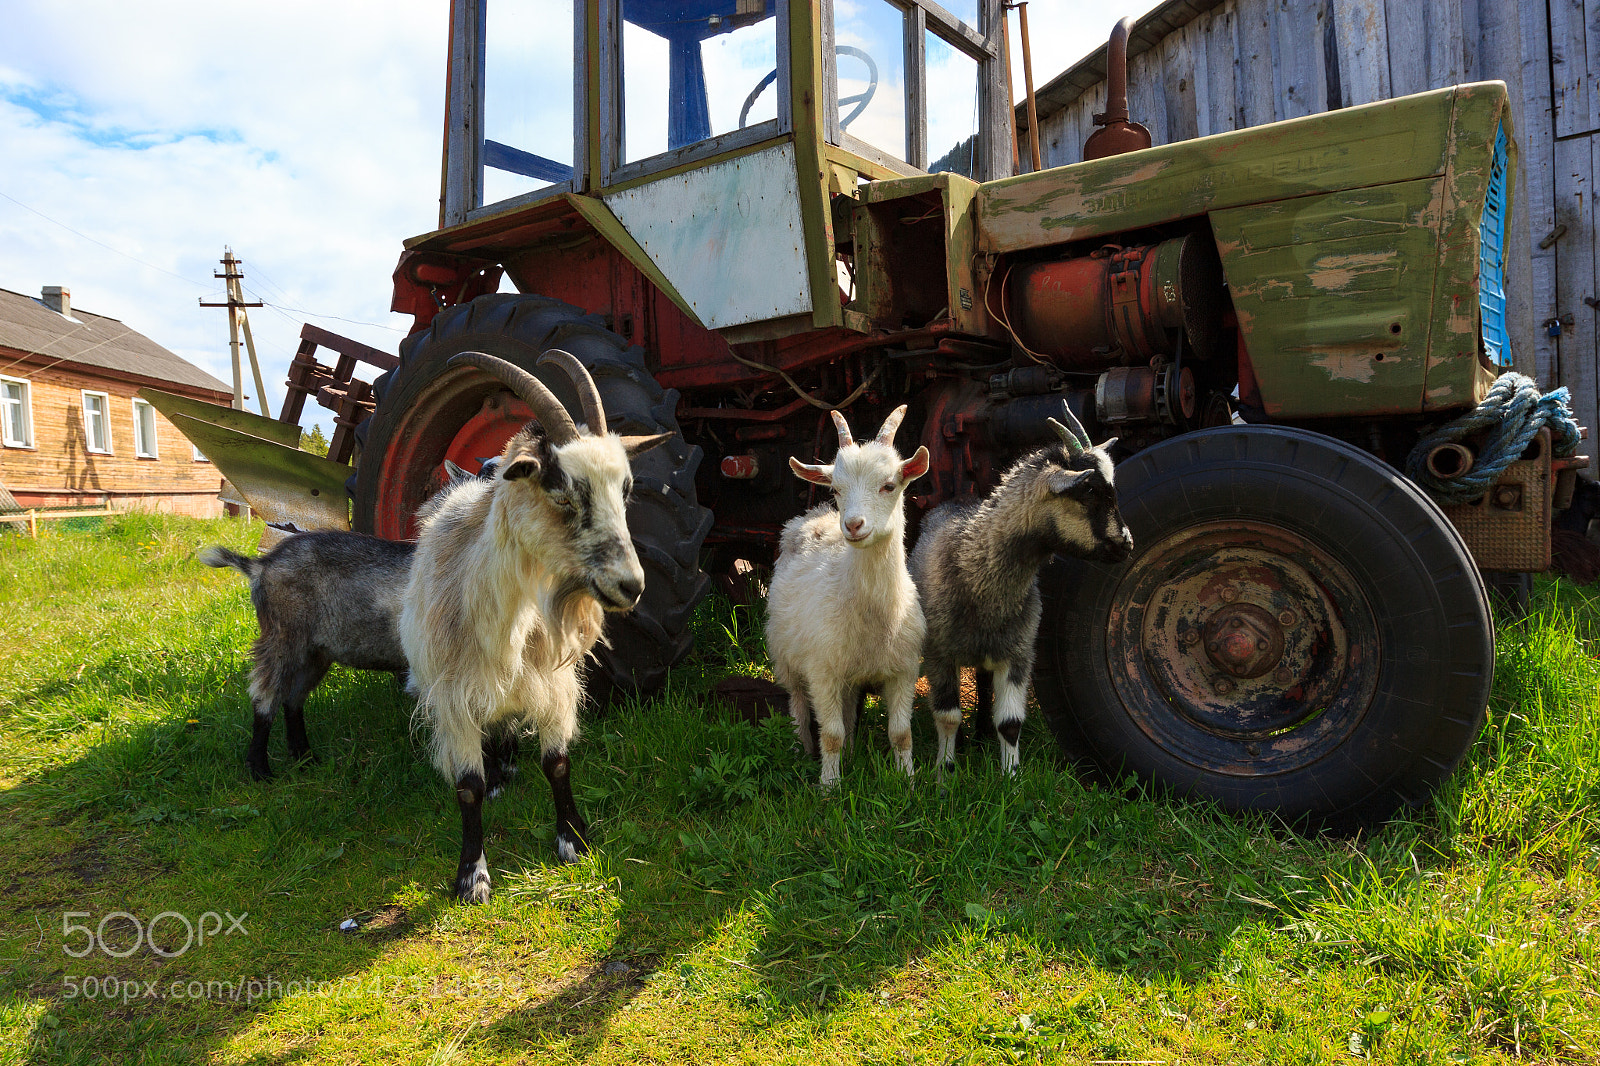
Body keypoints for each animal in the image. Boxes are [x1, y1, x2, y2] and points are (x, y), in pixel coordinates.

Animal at [199, 532, 414, 780]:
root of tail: (261, 567)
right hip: (284, 638)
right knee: (265, 698)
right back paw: (260, 769)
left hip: (315, 653)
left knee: (293, 699)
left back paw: (304, 757)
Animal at [400, 349, 669, 903]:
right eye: (562, 494)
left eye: (626, 492)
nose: (632, 586)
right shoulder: (454, 695)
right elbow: (467, 787)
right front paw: (472, 876)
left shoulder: (552, 683)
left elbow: (558, 763)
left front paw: (573, 840)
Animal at [767, 406, 930, 787]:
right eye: (837, 489)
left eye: (889, 485)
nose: (853, 525)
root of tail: (812, 517)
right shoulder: (821, 670)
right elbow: (830, 734)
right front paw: (829, 787)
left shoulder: (903, 670)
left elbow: (901, 734)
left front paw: (908, 782)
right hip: (786, 656)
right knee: (797, 705)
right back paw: (798, 751)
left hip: (848, 671)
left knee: (848, 706)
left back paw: (853, 753)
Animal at [909, 408, 1132, 774]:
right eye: (1088, 490)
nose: (1127, 544)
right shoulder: (938, 654)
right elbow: (948, 717)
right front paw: (945, 771)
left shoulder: (1017, 653)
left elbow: (1010, 723)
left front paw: (1011, 775)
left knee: (984, 685)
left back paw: (982, 734)